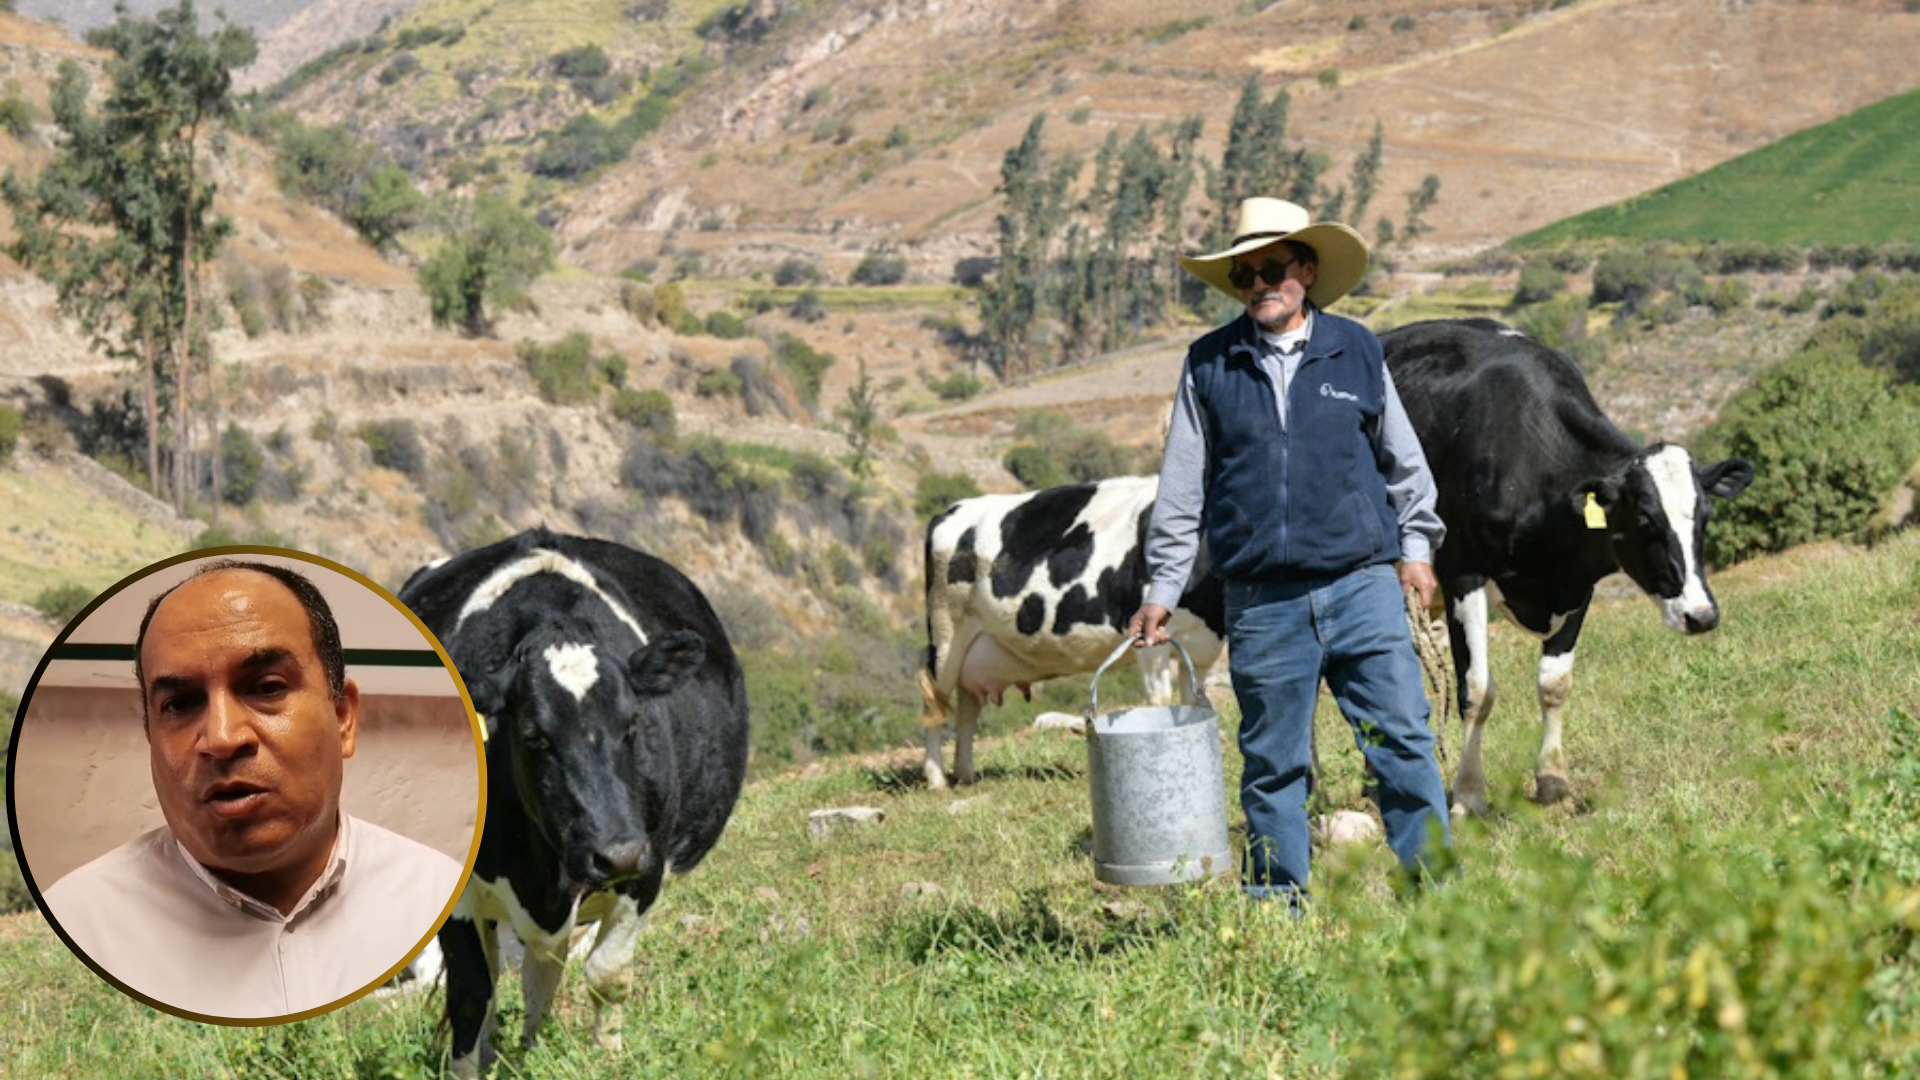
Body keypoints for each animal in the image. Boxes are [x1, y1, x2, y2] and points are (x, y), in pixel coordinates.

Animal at [398, 529, 748, 1078]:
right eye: (534, 735)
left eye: (633, 724)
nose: (617, 853)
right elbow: (471, 995)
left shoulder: (647, 868)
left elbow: (607, 974)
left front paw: (607, 1060)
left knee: (544, 970)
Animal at [919, 475, 1227, 788]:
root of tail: (950, 511)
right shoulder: (1150, 641)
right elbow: (1160, 700)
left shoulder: (1202, 647)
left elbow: (1192, 702)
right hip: (946, 633)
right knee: (934, 699)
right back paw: (937, 779)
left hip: (974, 646)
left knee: (967, 703)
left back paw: (966, 774)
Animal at [1380, 318, 1753, 816]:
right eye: (1645, 520)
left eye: (1705, 516)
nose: (1702, 615)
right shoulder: (1464, 573)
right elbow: (1476, 691)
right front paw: (1469, 796)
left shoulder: (1576, 584)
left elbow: (1555, 683)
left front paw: (1553, 782)